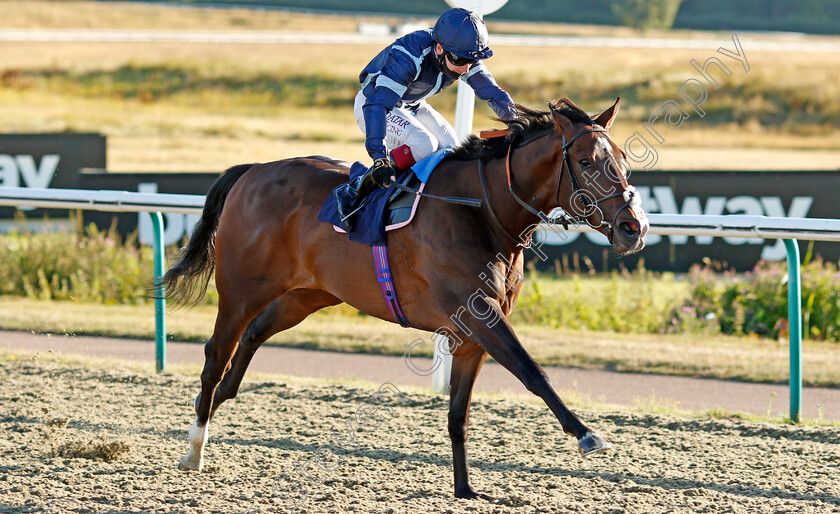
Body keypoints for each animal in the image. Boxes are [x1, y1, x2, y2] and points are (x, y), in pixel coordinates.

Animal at [166, 97, 648, 500]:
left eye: (623, 160)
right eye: (585, 161)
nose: (634, 227)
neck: (481, 211)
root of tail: (252, 171)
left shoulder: (470, 335)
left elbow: (458, 414)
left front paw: (465, 490)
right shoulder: (482, 317)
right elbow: (533, 371)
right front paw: (587, 435)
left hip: (307, 295)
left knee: (250, 339)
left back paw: (217, 404)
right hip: (240, 290)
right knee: (215, 356)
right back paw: (195, 448)